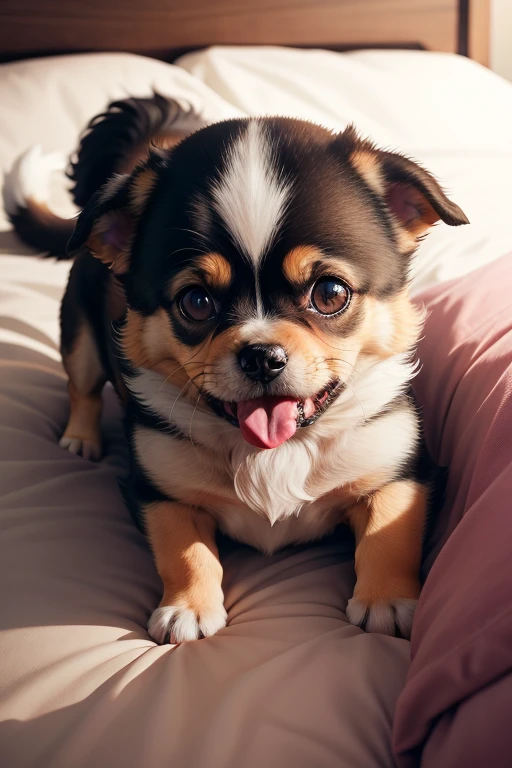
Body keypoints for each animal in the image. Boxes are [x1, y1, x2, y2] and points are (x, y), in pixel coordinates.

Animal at [3, 94, 468, 640]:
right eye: (196, 302)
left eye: (331, 293)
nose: (261, 355)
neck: (277, 450)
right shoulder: (158, 492)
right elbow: (184, 551)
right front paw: (188, 609)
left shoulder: (402, 474)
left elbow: (389, 534)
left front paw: (387, 600)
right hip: (79, 336)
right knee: (84, 388)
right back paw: (81, 438)